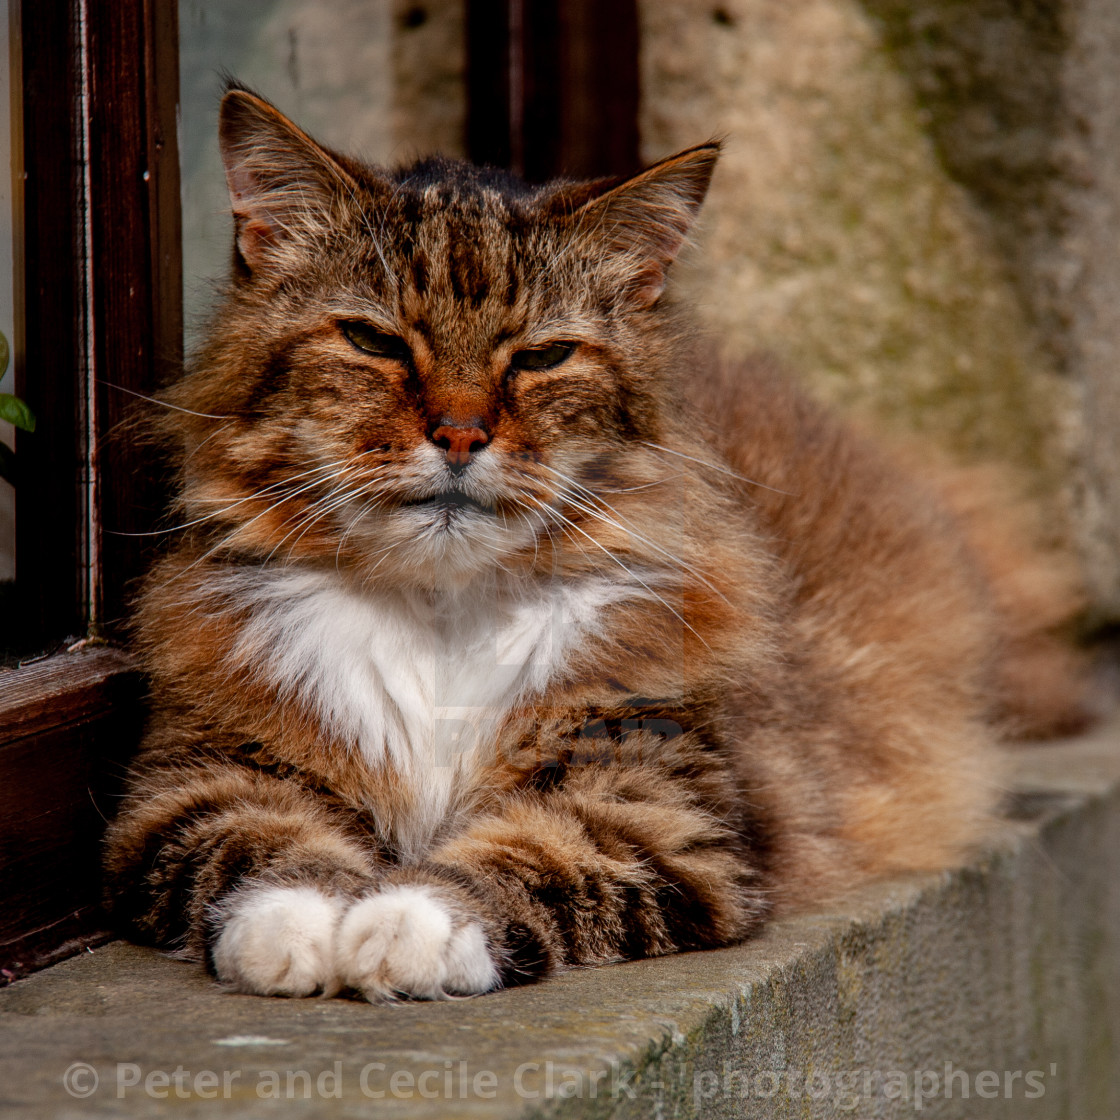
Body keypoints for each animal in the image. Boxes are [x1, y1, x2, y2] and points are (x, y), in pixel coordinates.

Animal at [103, 82, 1084, 1003]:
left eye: (543, 358)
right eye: (374, 340)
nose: (460, 435)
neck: (442, 609)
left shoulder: (652, 802)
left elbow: (524, 861)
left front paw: (401, 928)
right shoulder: (196, 780)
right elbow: (263, 852)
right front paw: (299, 932)